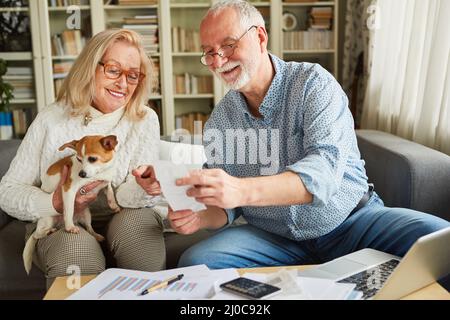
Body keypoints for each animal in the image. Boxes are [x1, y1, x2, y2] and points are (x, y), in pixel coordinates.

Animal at [22, 134, 121, 274]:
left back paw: (96, 235)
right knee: (37, 235)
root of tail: (59, 225)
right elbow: (68, 210)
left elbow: (110, 190)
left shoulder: (105, 182)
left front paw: (114, 205)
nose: (81, 174)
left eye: (92, 159)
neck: (100, 173)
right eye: (79, 159)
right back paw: (49, 231)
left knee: (89, 228)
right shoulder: (69, 190)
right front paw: (70, 227)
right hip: (48, 219)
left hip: (86, 214)